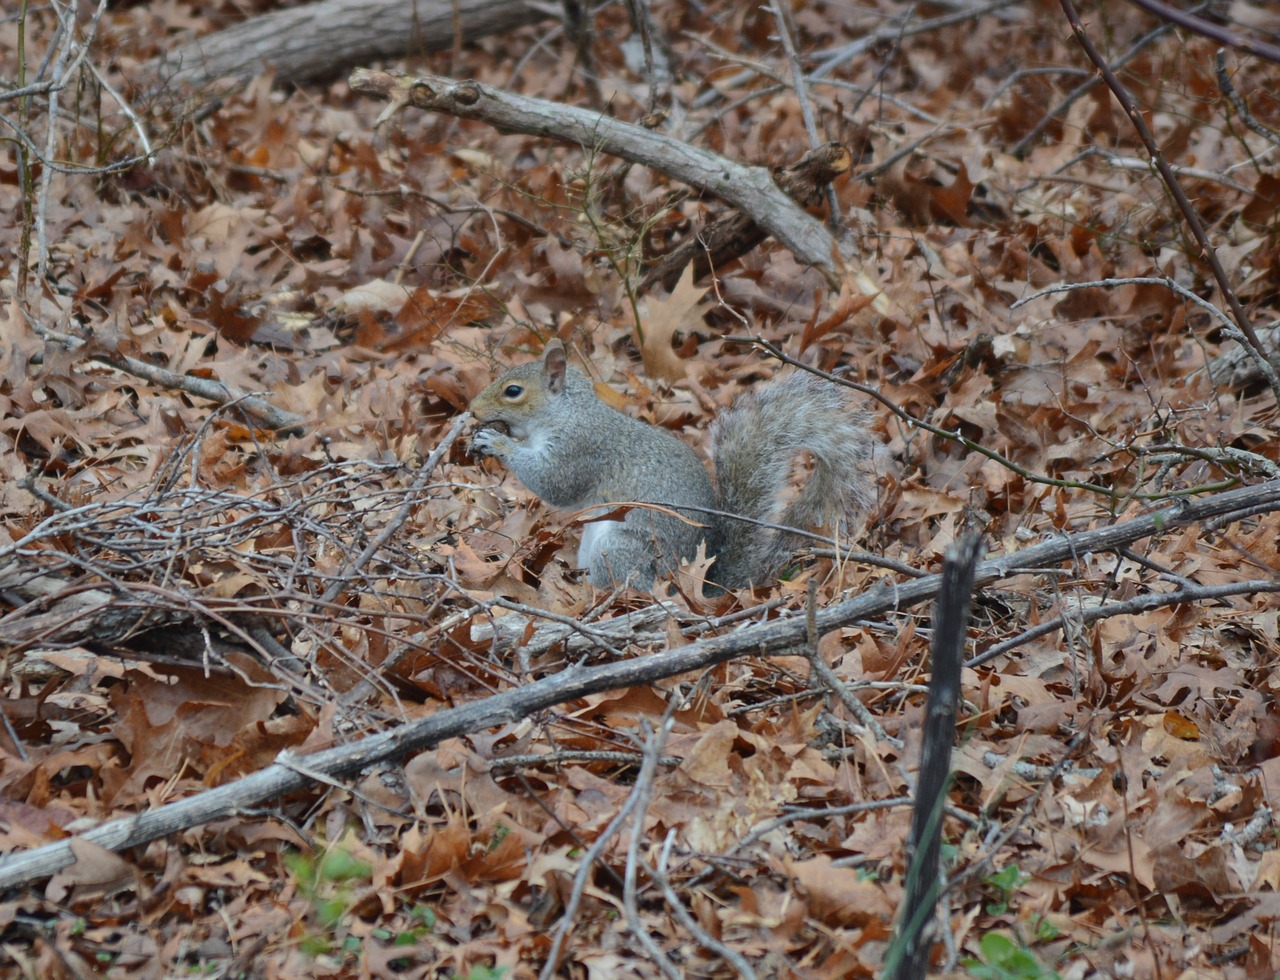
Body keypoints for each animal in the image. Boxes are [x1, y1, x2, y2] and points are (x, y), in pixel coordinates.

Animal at [471, 342, 880, 591]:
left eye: (513, 391)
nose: (472, 410)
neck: (567, 410)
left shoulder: (582, 447)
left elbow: (555, 483)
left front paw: (498, 443)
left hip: (623, 549)